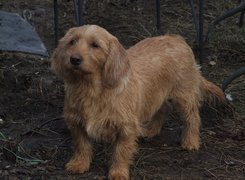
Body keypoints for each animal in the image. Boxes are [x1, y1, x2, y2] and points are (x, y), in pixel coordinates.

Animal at [50, 25, 225, 180]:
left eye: (95, 45)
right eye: (72, 41)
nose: (74, 59)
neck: (91, 89)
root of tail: (176, 38)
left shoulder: (126, 128)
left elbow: (120, 152)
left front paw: (118, 173)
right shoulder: (76, 123)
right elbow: (82, 145)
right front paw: (79, 164)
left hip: (184, 95)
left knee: (192, 117)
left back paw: (190, 141)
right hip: (157, 94)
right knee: (164, 108)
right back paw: (151, 130)